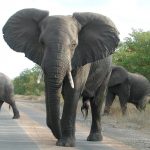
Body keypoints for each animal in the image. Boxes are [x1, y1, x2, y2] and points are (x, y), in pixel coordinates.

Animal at [2, 8, 119, 146]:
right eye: (42, 43)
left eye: (74, 45)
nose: (58, 136)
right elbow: (51, 89)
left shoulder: (82, 56)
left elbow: (72, 90)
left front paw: (65, 144)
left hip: (107, 71)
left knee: (97, 100)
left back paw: (94, 139)